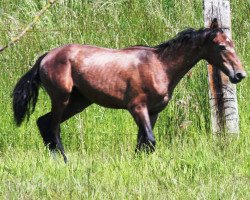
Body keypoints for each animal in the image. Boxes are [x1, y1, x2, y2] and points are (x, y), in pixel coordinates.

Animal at [12, 19, 245, 162]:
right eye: (222, 46)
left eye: (232, 44)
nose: (239, 75)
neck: (160, 66)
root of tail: (45, 57)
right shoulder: (137, 108)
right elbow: (149, 140)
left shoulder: (153, 112)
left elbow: (143, 142)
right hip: (62, 98)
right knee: (53, 128)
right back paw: (65, 160)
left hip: (79, 102)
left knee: (43, 122)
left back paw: (55, 159)